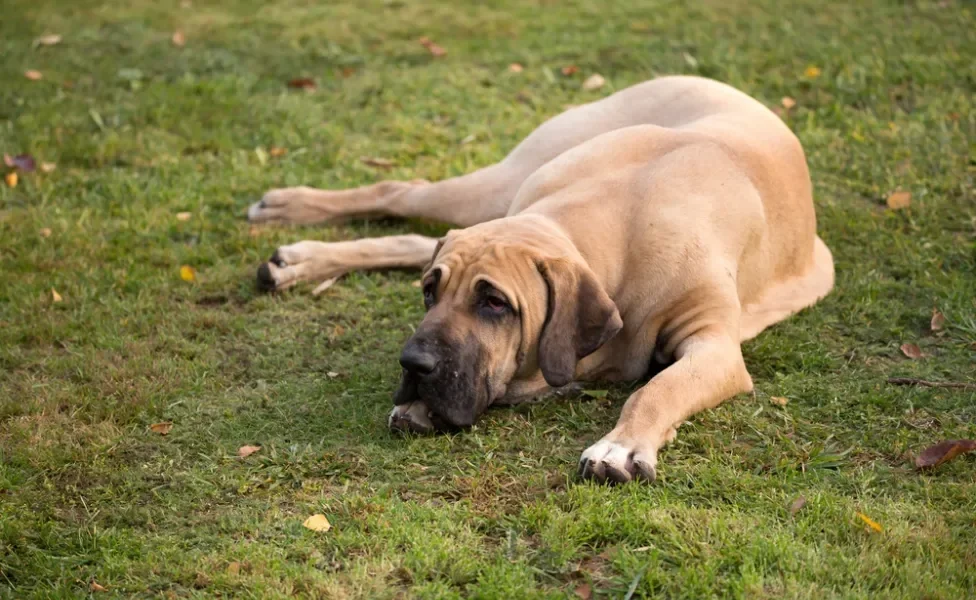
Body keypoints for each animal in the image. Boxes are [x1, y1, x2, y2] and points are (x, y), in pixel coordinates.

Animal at [248, 76, 836, 482]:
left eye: (494, 303)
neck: (618, 215)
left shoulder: (714, 345)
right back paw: (290, 221)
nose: (413, 364)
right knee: (401, 192)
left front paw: (620, 446)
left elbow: (659, 388)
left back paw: (297, 259)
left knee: (413, 233)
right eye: (430, 293)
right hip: (503, 182)